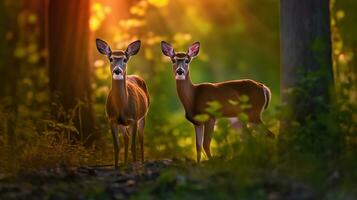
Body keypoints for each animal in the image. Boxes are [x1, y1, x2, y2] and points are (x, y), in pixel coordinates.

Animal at [95, 38, 149, 168]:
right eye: (111, 58)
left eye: (125, 59)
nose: (117, 71)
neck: (121, 107)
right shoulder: (112, 120)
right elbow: (116, 146)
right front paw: (116, 166)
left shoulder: (134, 119)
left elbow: (133, 146)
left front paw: (135, 165)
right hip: (123, 124)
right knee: (126, 137)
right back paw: (124, 164)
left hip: (143, 116)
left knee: (141, 139)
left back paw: (142, 162)